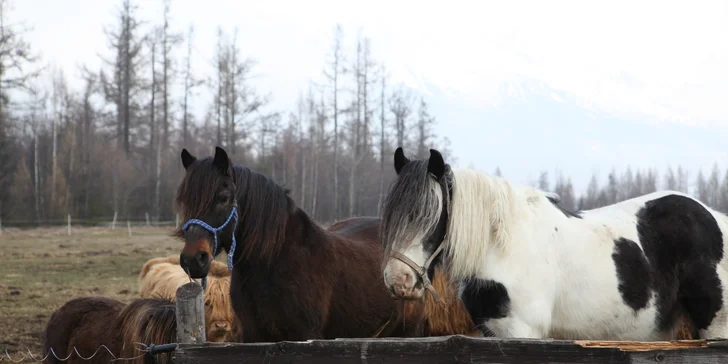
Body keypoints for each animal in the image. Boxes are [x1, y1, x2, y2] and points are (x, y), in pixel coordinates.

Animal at [174, 147, 426, 342]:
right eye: (184, 201)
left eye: (223, 198)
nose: (193, 259)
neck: (275, 261)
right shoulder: (254, 336)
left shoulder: (304, 336)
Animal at [382, 146, 728, 342]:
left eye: (431, 215)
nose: (398, 281)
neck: (502, 247)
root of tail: (715, 217)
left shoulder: (523, 332)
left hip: (716, 328)